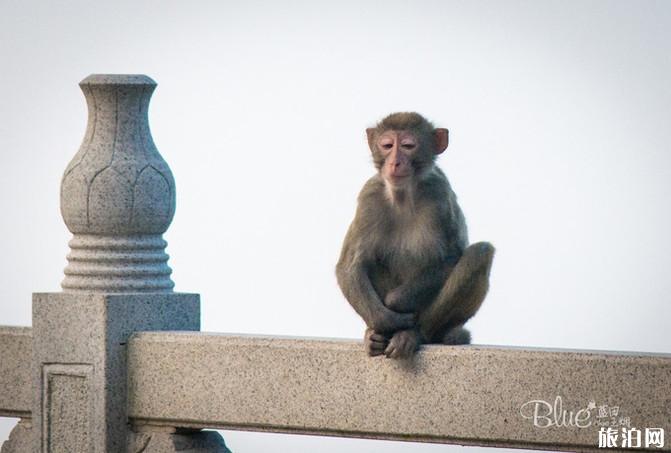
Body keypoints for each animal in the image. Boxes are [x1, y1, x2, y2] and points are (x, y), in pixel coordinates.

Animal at [334, 111, 494, 358]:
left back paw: (413, 334)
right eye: (387, 145)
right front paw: (385, 319)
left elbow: (451, 258)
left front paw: (394, 303)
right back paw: (374, 335)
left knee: (480, 253)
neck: (403, 194)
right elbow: (350, 266)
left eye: (408, 146)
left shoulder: (440, 196)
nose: (395, 162)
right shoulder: (369, 196)